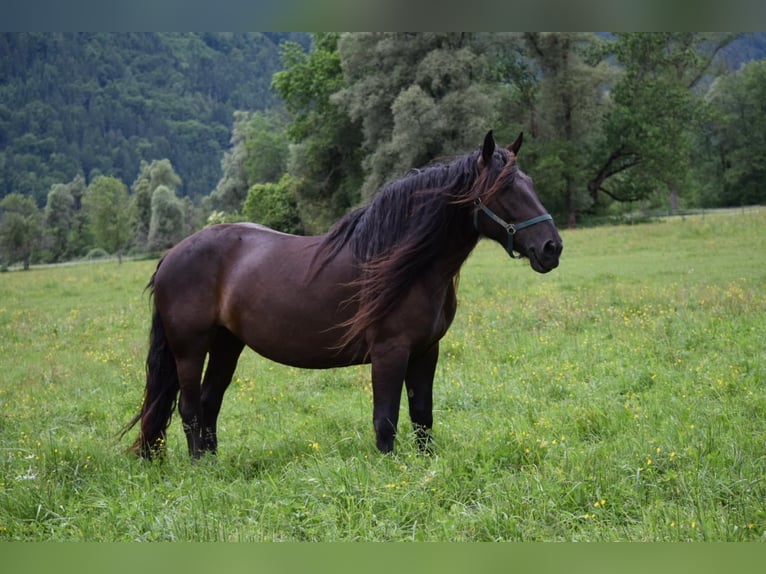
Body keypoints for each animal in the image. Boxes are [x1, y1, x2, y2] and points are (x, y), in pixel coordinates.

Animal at [121, 130, 563, 458]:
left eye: (529, 184)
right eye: (505, 190)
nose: (552, 248)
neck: (403, 264)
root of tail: (171, 255)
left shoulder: (426, 351)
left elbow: (422, 416)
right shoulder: (389, 352)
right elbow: (385, 420)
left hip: (228, 345)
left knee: (210, 404)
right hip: (190, 350)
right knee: (190, 409)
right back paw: (200, 467)